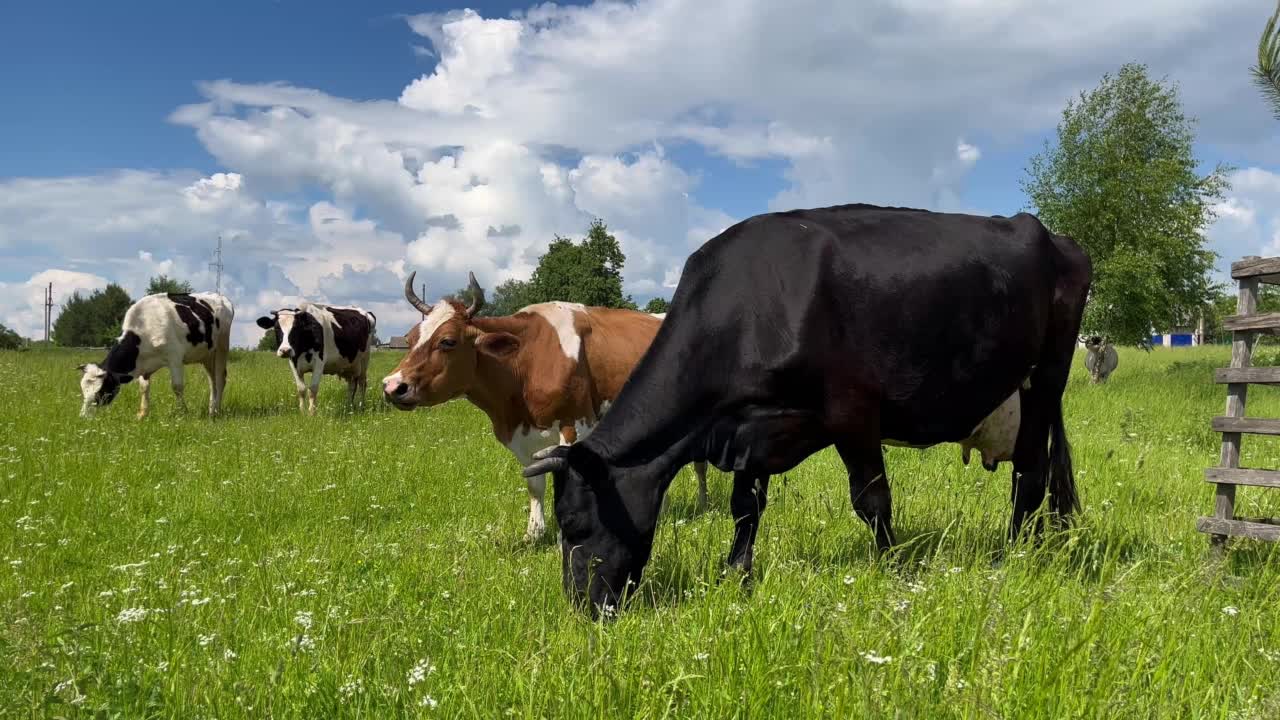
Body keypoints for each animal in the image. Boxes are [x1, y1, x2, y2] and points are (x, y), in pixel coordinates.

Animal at [79, 288, 235, 417]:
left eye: (100, 391)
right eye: (83, 389)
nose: (83, 416)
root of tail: (219, 296)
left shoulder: (175, 358)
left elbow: (177, 386)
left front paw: (183, 412)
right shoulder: (144, 364)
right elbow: (144, 388)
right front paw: (142, 414)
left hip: (222, 346)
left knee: (220, 378)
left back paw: (217, 411)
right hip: (207, 354)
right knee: (212, 381)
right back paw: (211, 410)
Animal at [378, 271, 711, 540]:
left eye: (447, 341)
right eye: (410, 337)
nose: (393, 386)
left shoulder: (575, 424)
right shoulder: (522, 437)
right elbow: (534, 484)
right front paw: (534, 534)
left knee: (699, 462)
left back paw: (703, 505)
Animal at [519, 202, 1090, 617]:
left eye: (574, 523)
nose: (584, 609)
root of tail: (1051, 235)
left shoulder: (853, 413)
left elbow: (872, 501)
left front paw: (893, 568)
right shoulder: (748, 429)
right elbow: (744, 507)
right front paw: (736, 576)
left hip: (1048, 372)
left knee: (1030, 473)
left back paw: (1014, 553)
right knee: (1039, 470)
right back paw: (1038, 543)